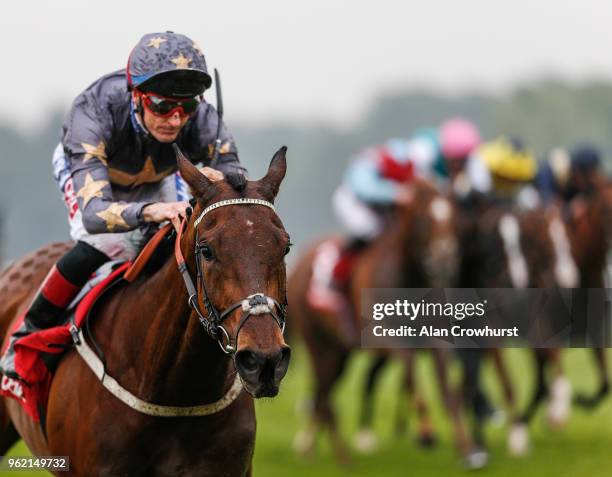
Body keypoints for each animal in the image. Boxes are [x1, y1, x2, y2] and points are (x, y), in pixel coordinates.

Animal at [290, 178, 482, 468]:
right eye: (423, 220)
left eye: (455, 218)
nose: (444, 261)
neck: (409, 279)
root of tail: (300, 262)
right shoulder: (389, 339)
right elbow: (411, 374)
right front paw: (426, 432)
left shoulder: (437, 340)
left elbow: (448, 392)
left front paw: (468, 451)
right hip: (319, 345)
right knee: (325, 396)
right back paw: (341, 457)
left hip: (339, 352)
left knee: (324, 395)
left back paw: (309, 447)